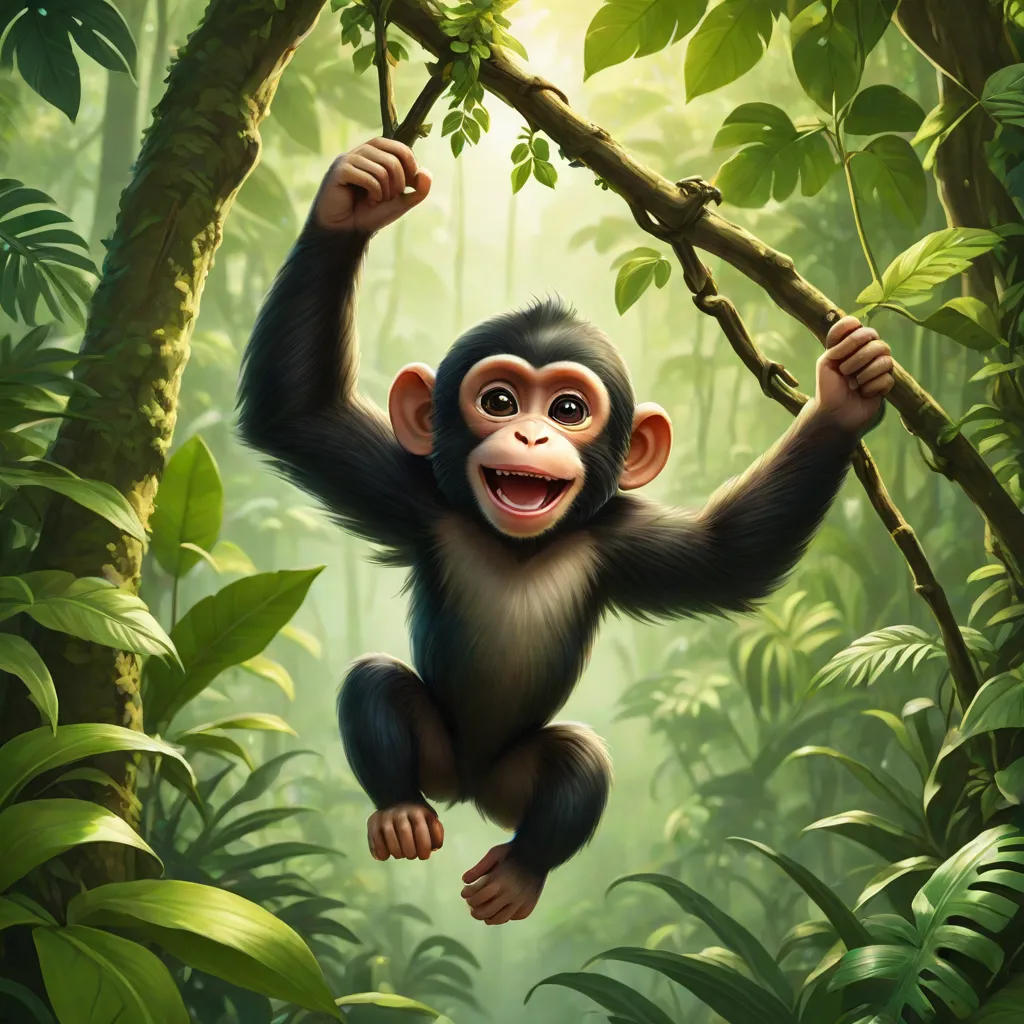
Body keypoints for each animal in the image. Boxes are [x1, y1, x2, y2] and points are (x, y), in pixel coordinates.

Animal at [237, 137, 895, 926]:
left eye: (570, 410)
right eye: (498, 400)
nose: (531, 433)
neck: (522, 544)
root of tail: (466, 790)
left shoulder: (623, 542)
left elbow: (731, 553)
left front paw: (844, 393)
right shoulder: (415, 496)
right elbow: (301, 415)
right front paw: (354, 198)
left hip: (513, 782)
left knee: (578, 759)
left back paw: (519, 874)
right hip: (437, 756)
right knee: (375, 683)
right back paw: (399, 813)